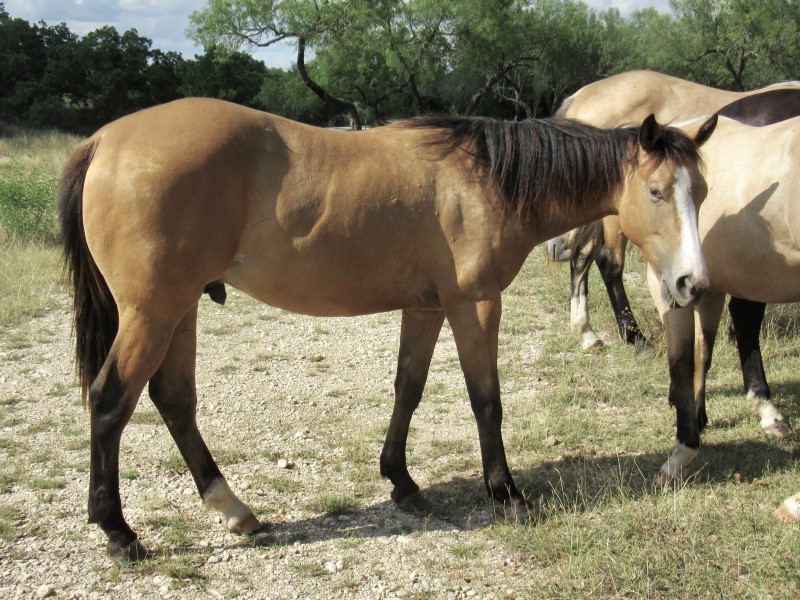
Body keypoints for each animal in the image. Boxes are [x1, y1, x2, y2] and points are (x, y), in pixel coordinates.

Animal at [59, 96, 716, 560]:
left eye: (703, 192)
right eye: (657, 191)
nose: (693, 284)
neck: (487, 179)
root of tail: (105, 140)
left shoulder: (426, 307)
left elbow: (409, 388)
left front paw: (401, 480)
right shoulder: (475, 303)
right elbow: (486, 400)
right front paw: (505, 492)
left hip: (180, 309)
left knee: (173, 400)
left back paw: (232, 508)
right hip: (153, 312)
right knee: (110, 401)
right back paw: (119, 532)